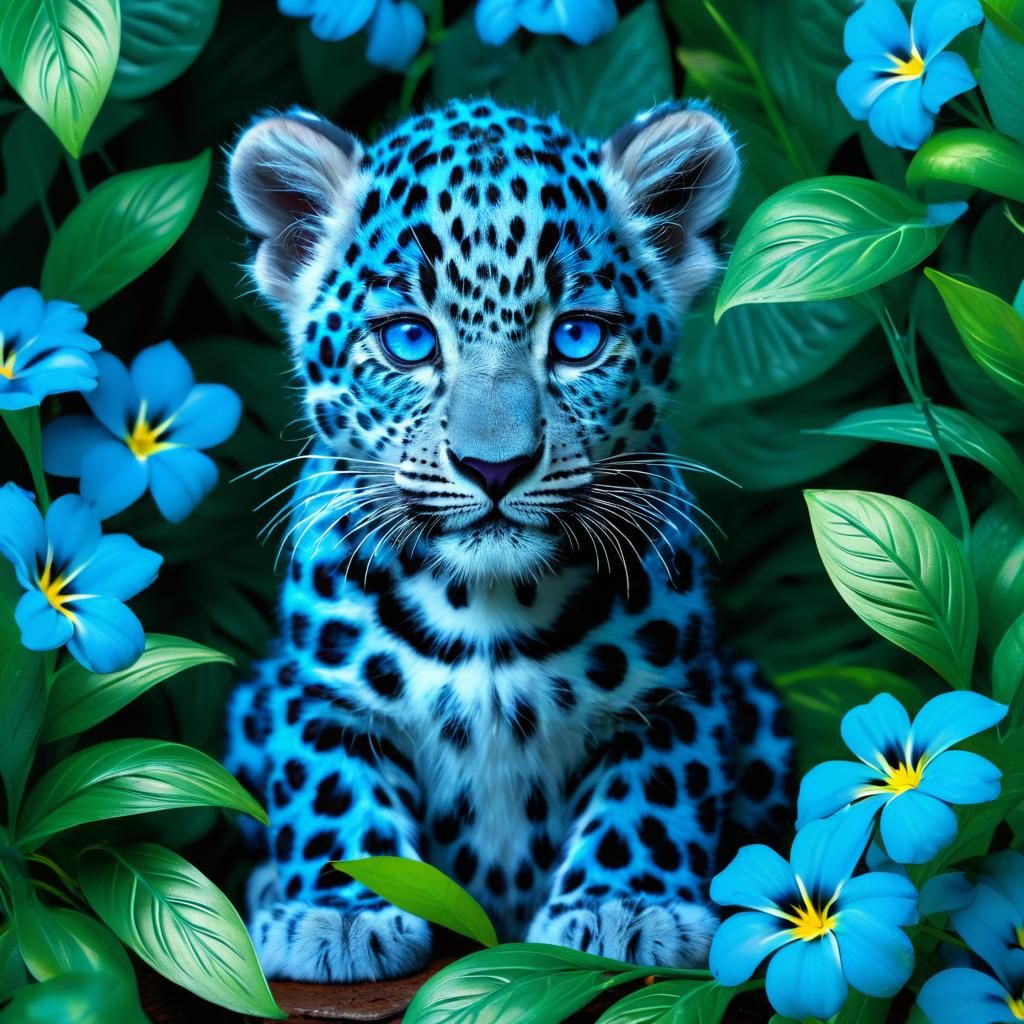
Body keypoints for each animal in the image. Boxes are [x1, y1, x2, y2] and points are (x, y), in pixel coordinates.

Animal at [223, 96, 793, 983]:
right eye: (409, 340)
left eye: (578, 338)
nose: (496, 466)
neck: (486, 606)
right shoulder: (318, 688)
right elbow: (330, 787)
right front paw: (339, 913)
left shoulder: (676, 689)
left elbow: (650, 793)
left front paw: (625, 905)